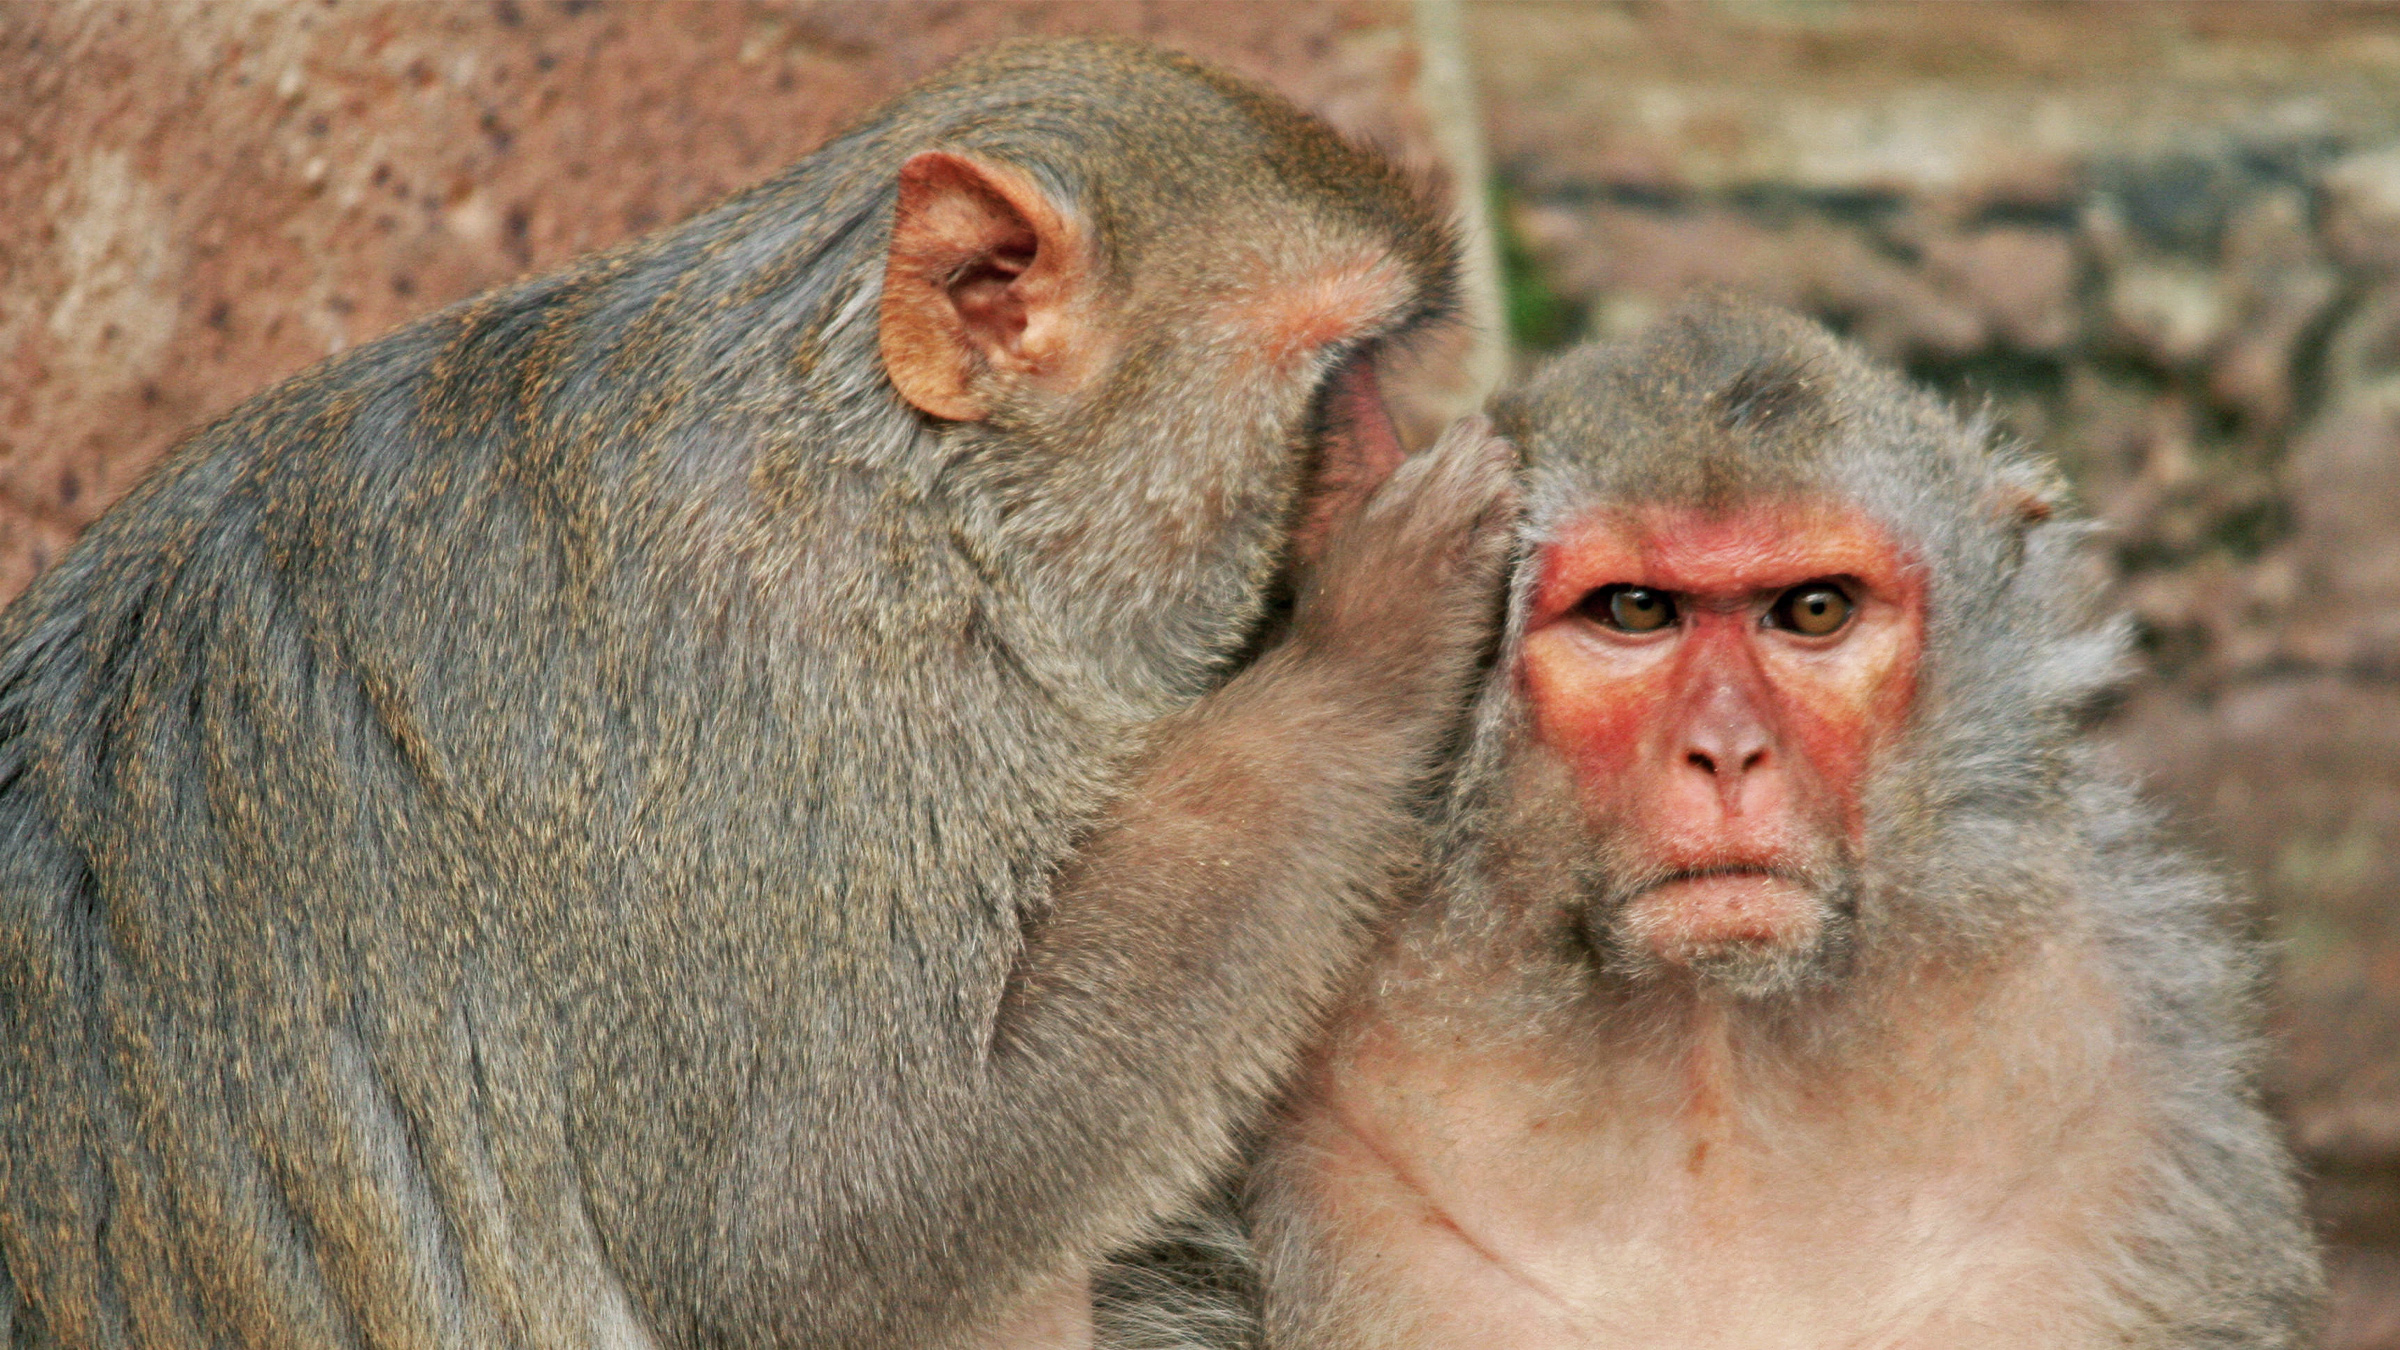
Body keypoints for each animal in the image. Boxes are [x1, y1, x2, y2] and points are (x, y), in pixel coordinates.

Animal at [0, 38, 1522, 1350]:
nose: (1398, 449)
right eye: (1345, 379)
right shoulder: (782, 715)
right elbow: (831, 1220)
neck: (918, 500)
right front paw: (1370, 644)